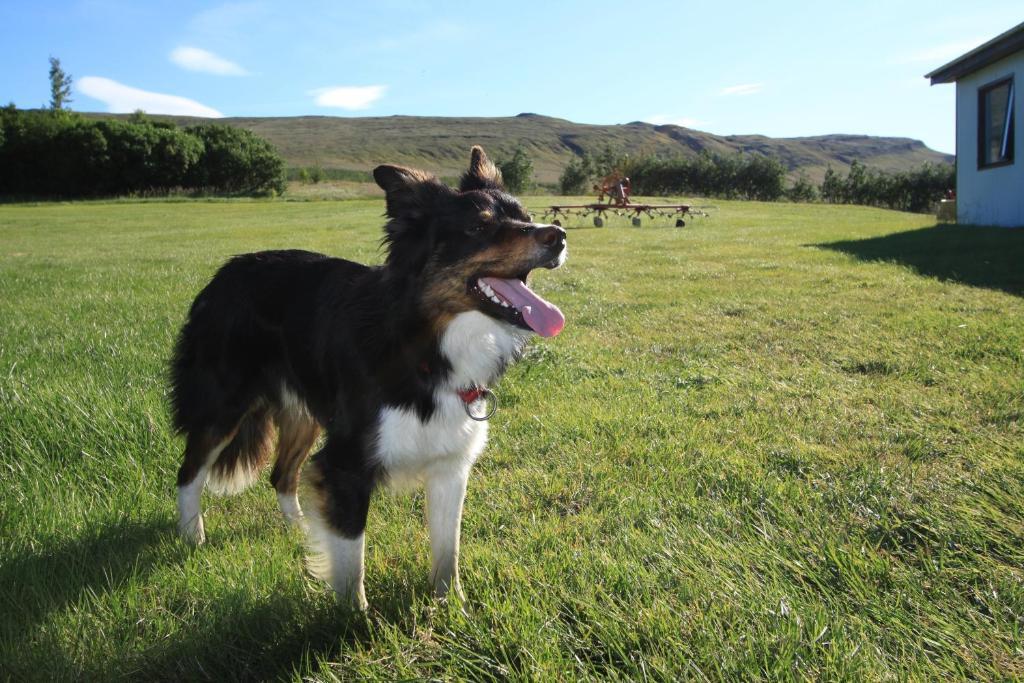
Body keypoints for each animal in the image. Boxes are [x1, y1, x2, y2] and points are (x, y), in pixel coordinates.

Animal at [168, 145, 569, 610]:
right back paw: (192, 538)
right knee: (189, 471)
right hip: (224, 404)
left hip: (305, 414)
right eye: (478, 226)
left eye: (526, 215)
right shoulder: (346, 464)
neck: (422, 342)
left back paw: (299, 530)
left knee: (281, 475)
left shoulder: (449, 465)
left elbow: (447, 552)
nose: (558, 235)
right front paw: (353, 620)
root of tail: (224, 273)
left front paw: (454, 609)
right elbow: (352, 564)